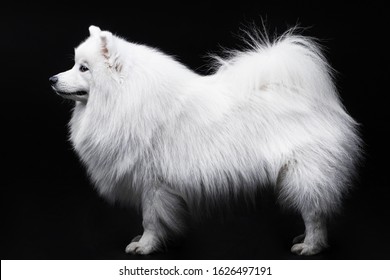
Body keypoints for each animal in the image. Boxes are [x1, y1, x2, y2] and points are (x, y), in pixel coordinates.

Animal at [49, 25, 362, 255]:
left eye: (83, 68)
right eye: (74, 65)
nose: (52, 79)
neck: (123, 99)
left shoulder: (152, 183)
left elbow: (150, 219)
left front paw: (145, 246)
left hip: (304, 173)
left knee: (314, 213)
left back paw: (310, 246)